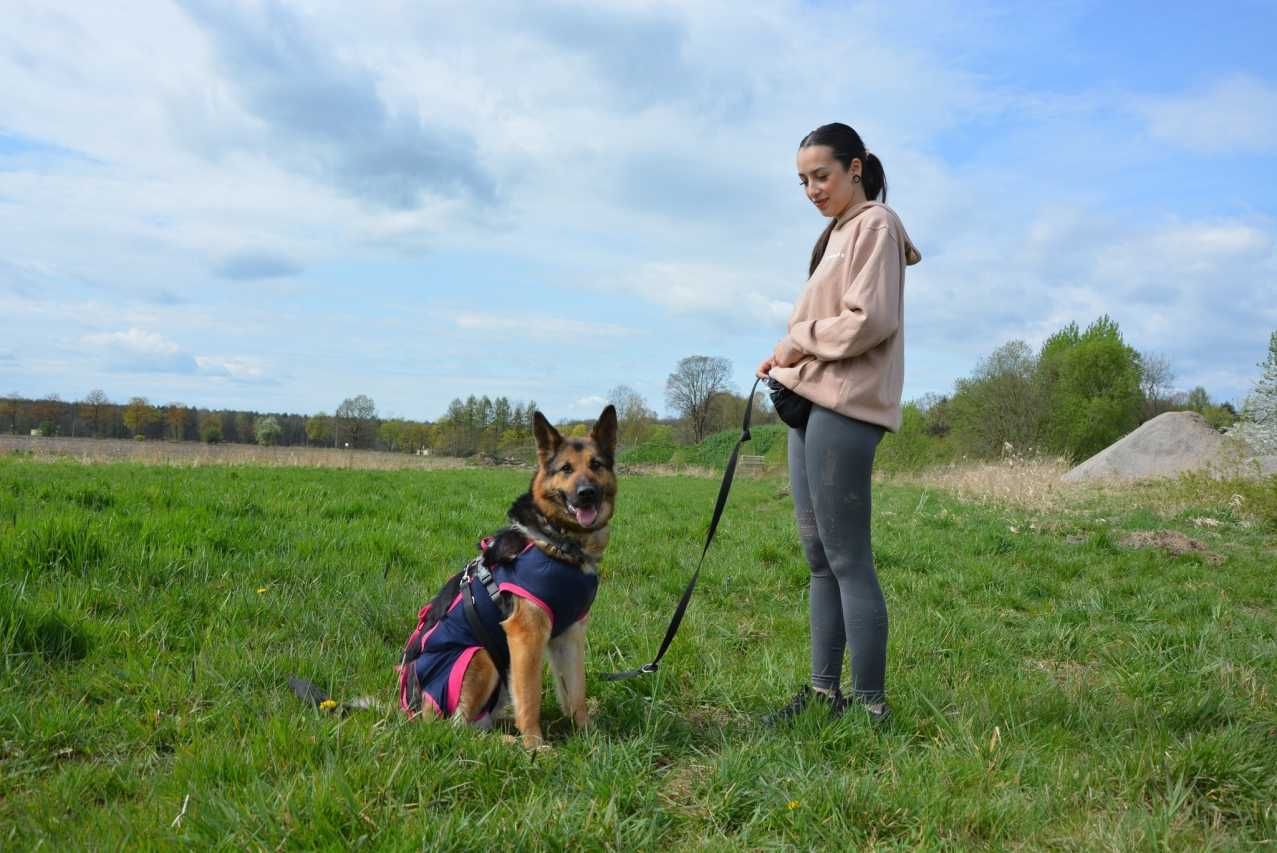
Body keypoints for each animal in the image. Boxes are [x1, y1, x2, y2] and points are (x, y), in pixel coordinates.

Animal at [400, 406, 615, 745]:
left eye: (596, 465)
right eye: (566, 468)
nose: (586, 494)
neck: (559, 540)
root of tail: (410, 708)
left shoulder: (570, 635)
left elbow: (576, 692)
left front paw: (588, 736)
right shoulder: (526, 635)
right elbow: (530, 697)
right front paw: (535, 746)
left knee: (479, 722)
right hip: (479, 656)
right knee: (458, 730)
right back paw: (508, 742)